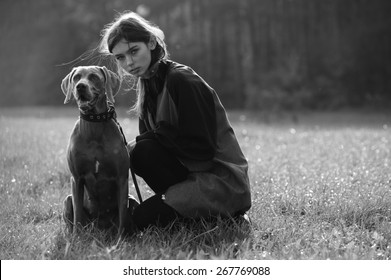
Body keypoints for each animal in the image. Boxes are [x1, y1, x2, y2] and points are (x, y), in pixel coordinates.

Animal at [61, 66, 139, 238]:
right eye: (76, 77)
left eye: (94, 77)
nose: (80, 86)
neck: (94, 126)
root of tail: (101, 229)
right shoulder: (76, 178)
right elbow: (78, 214)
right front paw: (76, 240)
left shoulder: (122, 178)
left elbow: (123, 214)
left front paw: (121, 240)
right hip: (68, 200)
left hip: (134, 200)